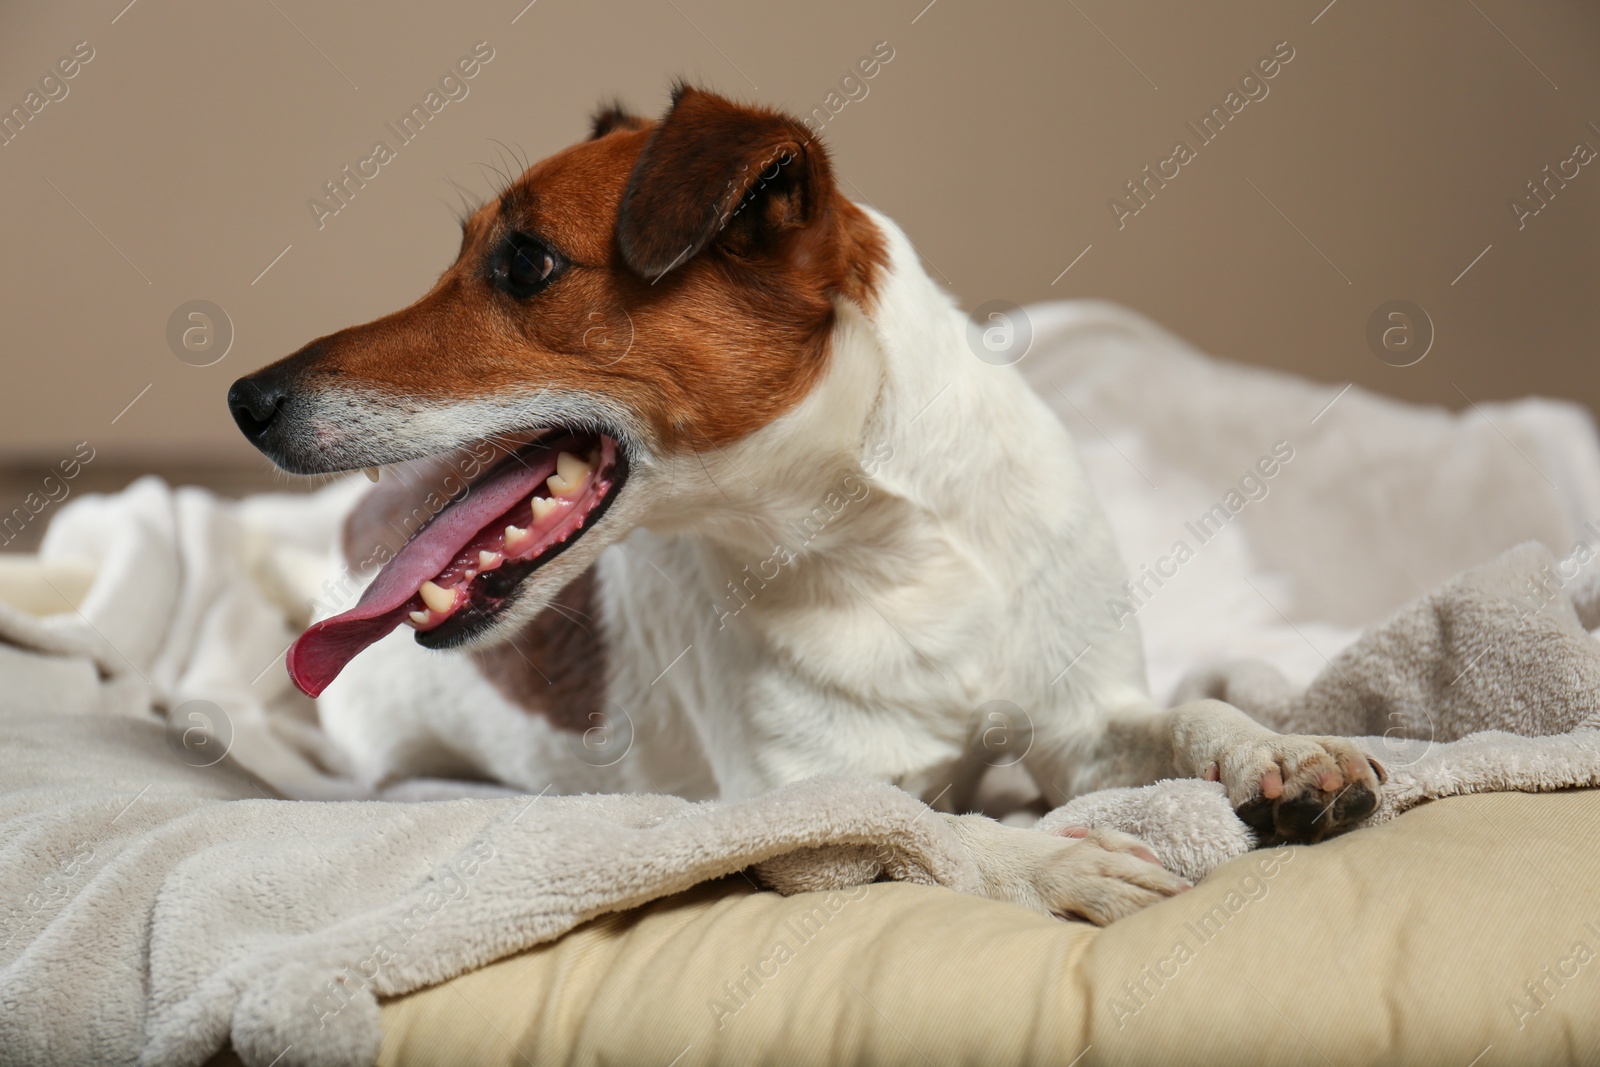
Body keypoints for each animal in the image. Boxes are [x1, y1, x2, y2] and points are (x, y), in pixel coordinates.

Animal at [228, 87, 1388, 927]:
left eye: (522, 261)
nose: (247, 398)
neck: (889, 551)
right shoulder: (796, 810)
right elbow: (926, 829)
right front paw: (1056, 861)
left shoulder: (1080, 719)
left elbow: (1191, 712)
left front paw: (1287, 752)